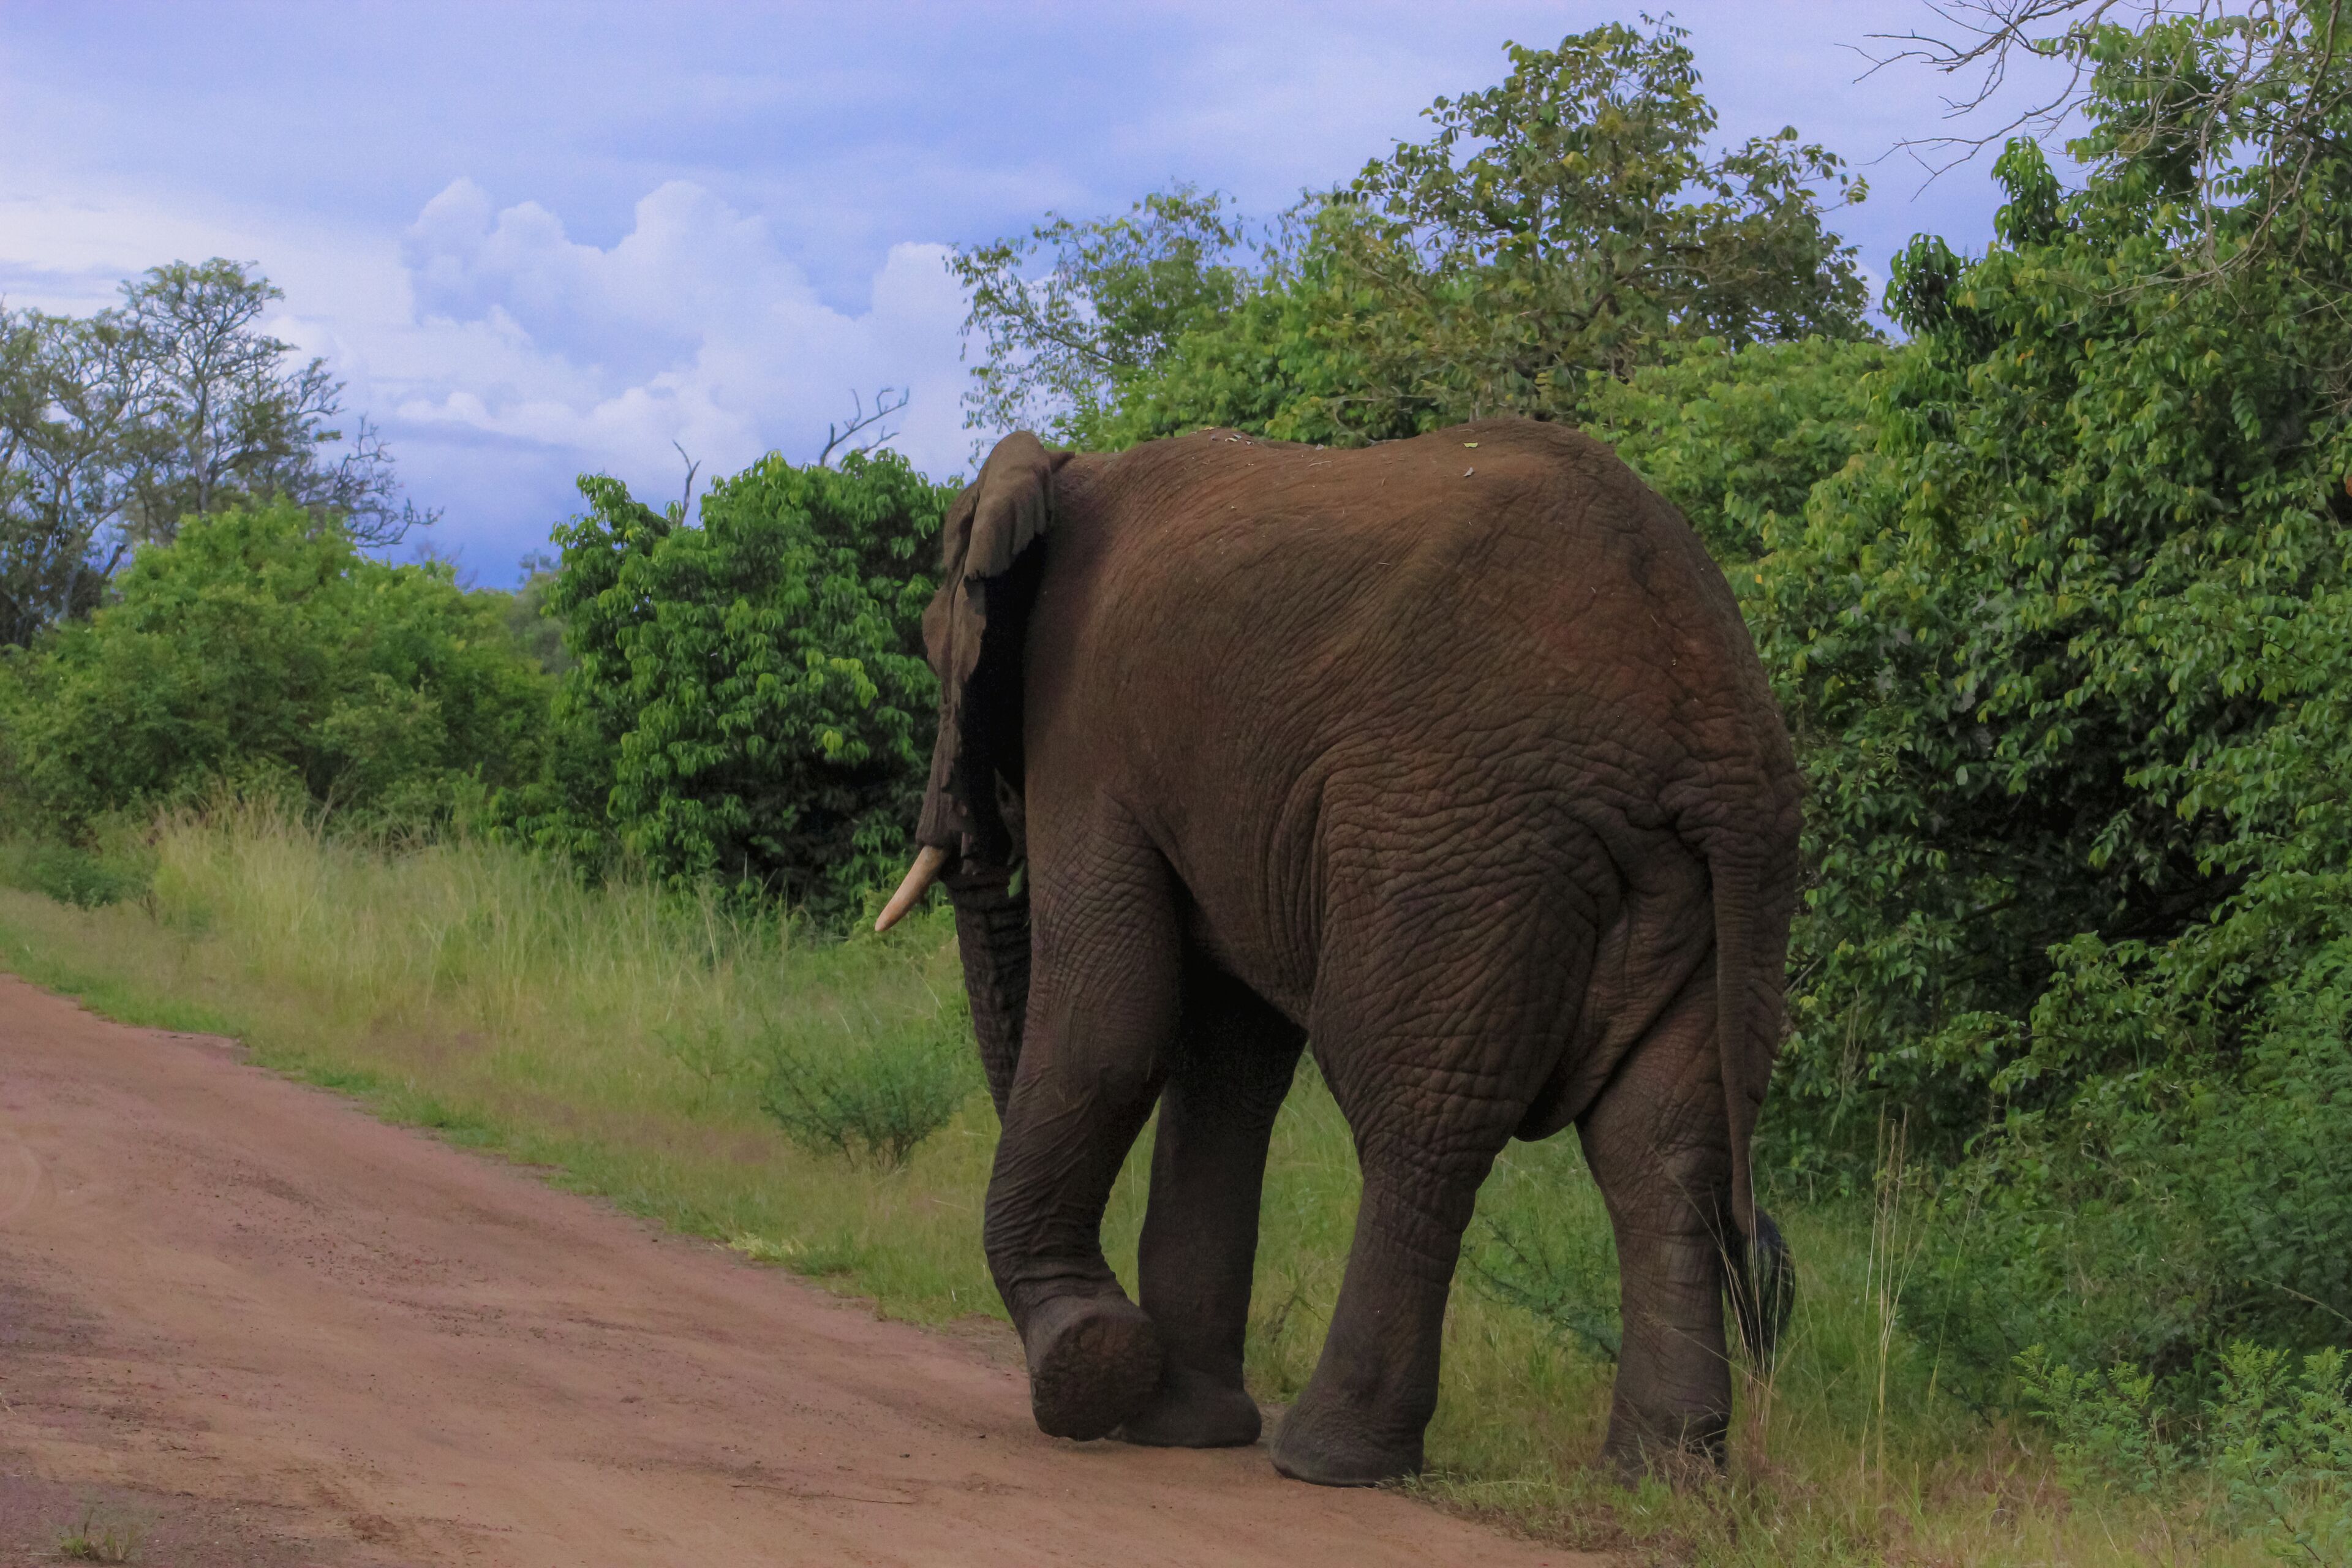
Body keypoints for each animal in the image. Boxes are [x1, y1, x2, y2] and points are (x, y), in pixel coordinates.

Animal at [873, 417, 1802, 1486]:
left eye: (935, 649)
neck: (1072, 470)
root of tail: (1706, 708)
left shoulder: (1091, 732)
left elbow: (1112, 1026)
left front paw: (1089, 1365)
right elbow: (1223, 1070)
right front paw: (1178, 1426)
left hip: (1458, 849)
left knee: (1415, 1119)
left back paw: (1331, 1456)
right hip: (1722, 886)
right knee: (1661, 1152)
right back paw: (1661, 1476)